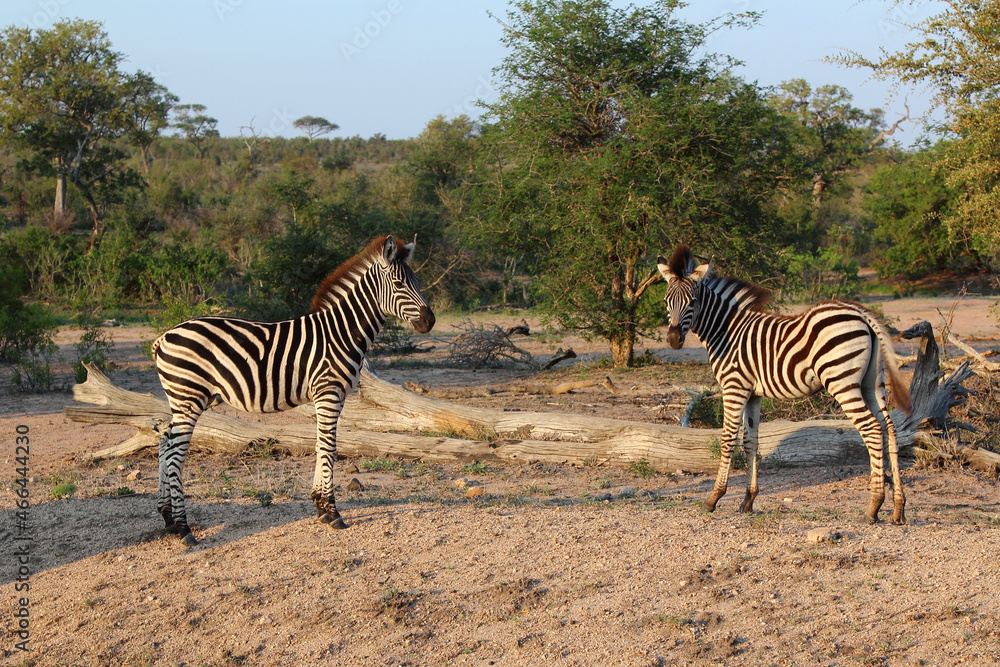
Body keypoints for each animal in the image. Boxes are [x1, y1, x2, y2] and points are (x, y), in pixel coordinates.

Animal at [151, 235, 435, 545]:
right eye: (399, 284)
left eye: (417, 282)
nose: (430, 321)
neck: (341, 333)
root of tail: (164, 336)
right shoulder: (328, 392)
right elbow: (329, 447)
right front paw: (333, 512)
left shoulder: (333, 397)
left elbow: (321, 444)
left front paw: (320, 507)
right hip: (188, 398)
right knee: (175, 455)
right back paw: (184, 528)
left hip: (188, 399)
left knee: (164, 441)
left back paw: (167, 517)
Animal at [656, 245, 911, 524]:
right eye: (667, 302)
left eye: (693, 301)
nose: (673, 340)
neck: (726, 331)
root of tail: (862, 313)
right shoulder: (753, 393)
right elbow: (751, 442)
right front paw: (748, 500)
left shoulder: (734, 387)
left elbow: (727, 440)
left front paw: (714, 498)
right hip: (871, 383)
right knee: (889, 429)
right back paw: (898, 507)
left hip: (841, 381)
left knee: (872, 429)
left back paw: (874, 506)